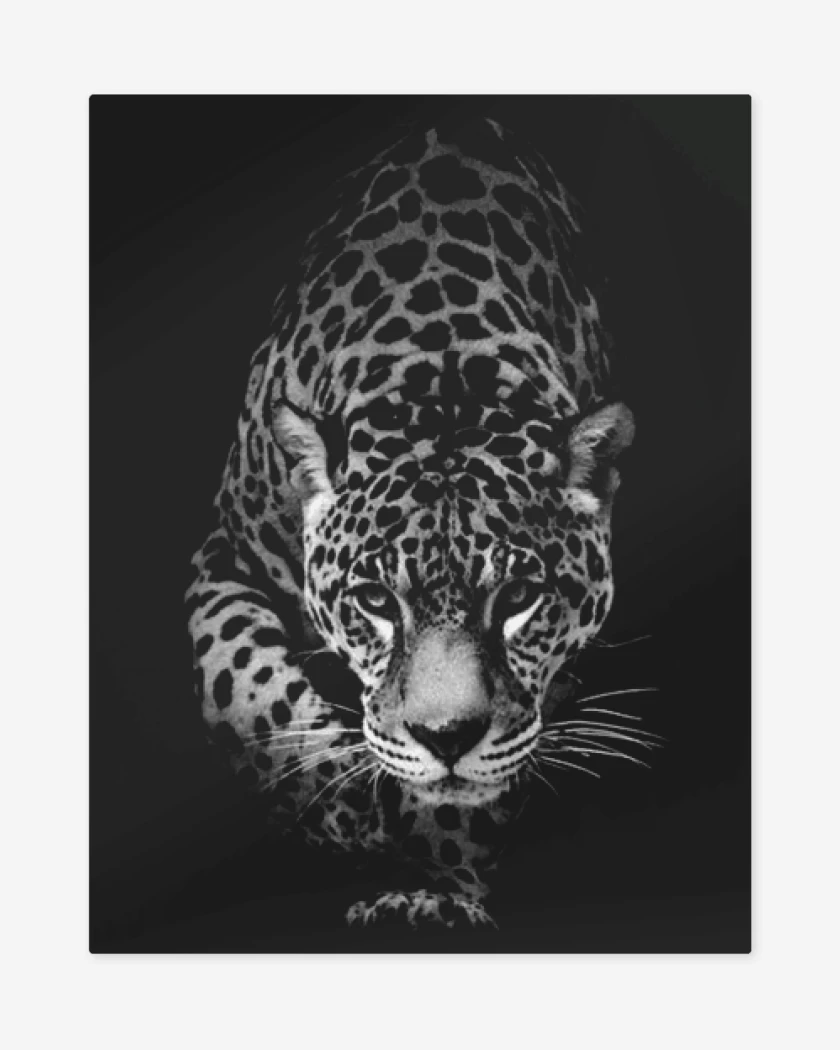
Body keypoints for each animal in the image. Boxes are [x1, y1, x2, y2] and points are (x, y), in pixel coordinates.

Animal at [186, 116, 637, 932]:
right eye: (374, 601)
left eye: (518, 599)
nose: (447, 739)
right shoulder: (224, 555)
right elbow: (243, 685)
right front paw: (344, 803)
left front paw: (435, 882)